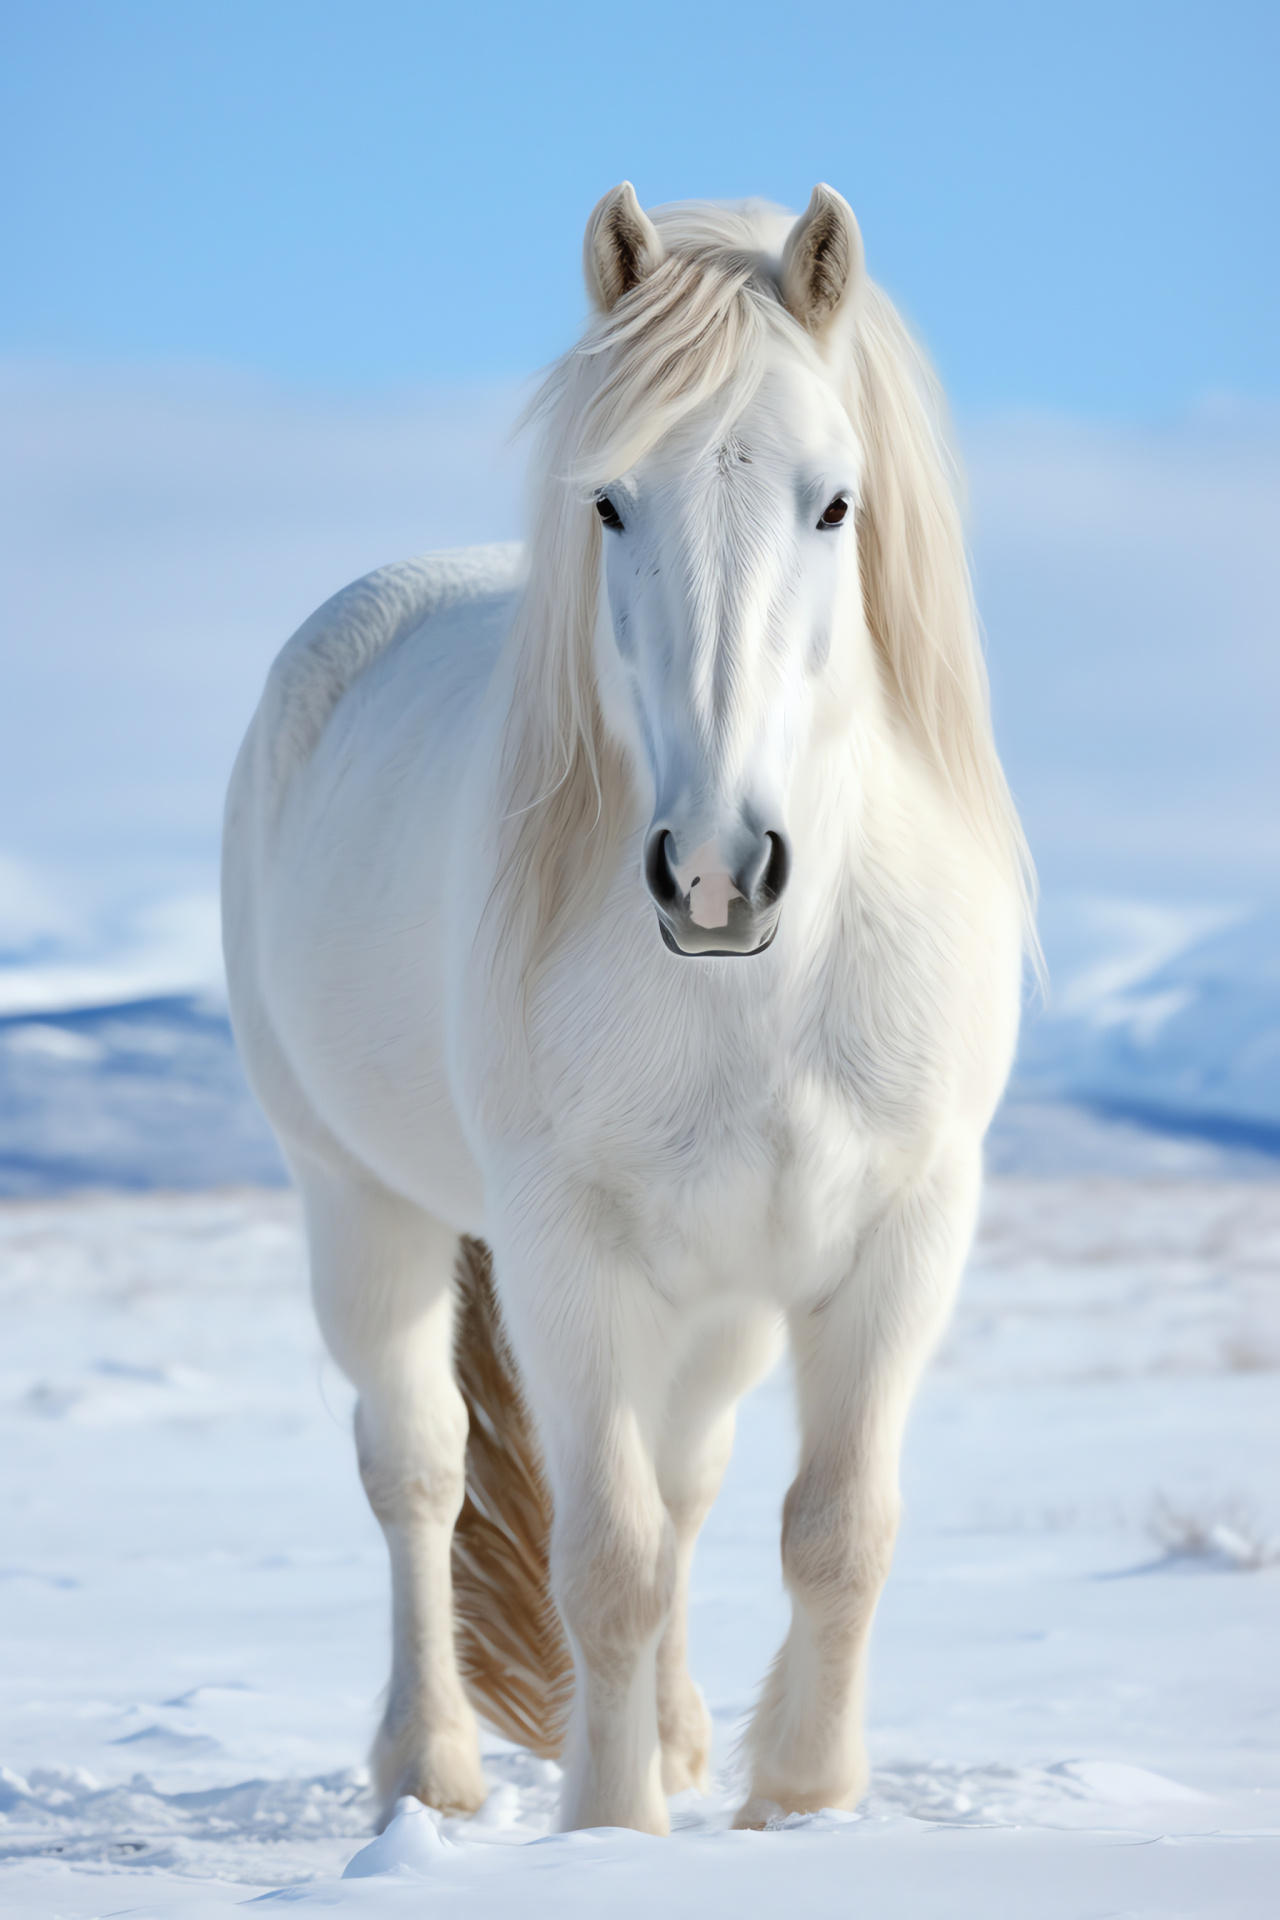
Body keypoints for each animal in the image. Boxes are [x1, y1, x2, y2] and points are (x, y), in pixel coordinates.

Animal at [225, 187, 1036, 1835]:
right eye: (607, 505)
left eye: (834, 504)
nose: (716, 871)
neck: (766, 987)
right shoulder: (567, 1255)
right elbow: (607, 1555)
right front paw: (612, 1827)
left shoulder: (904, 1230)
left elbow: (834, 1530)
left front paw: (800, 1803)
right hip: (359, 1204)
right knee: (418, 1468)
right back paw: (435, 1769)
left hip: (714, 1291)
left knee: (687, 1474)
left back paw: (672, 1735)